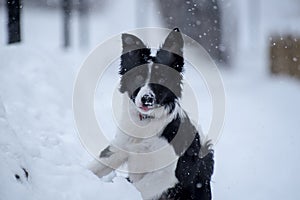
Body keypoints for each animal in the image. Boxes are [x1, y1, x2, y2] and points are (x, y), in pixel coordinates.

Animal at [89, 28, 213, 200]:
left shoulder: (170, 174)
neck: (145, 123)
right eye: (138, 77)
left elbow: (139, 187)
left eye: (162, 79)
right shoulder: (120, 148)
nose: (147, 99)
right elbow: (95, 166)